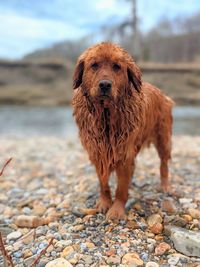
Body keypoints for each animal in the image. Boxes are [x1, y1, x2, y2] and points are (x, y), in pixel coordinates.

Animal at [72, 43, 173, 221]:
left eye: (117, 67)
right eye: (94, 65)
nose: (105, 85)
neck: (106, 116)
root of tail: (162, 93)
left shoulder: (124, 152)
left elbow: (121, 188)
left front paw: (117, 210)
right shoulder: (98, 151)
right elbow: (103, 183)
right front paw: (105, 202)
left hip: (163, 138)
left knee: (164, 163)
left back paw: (165, 186)